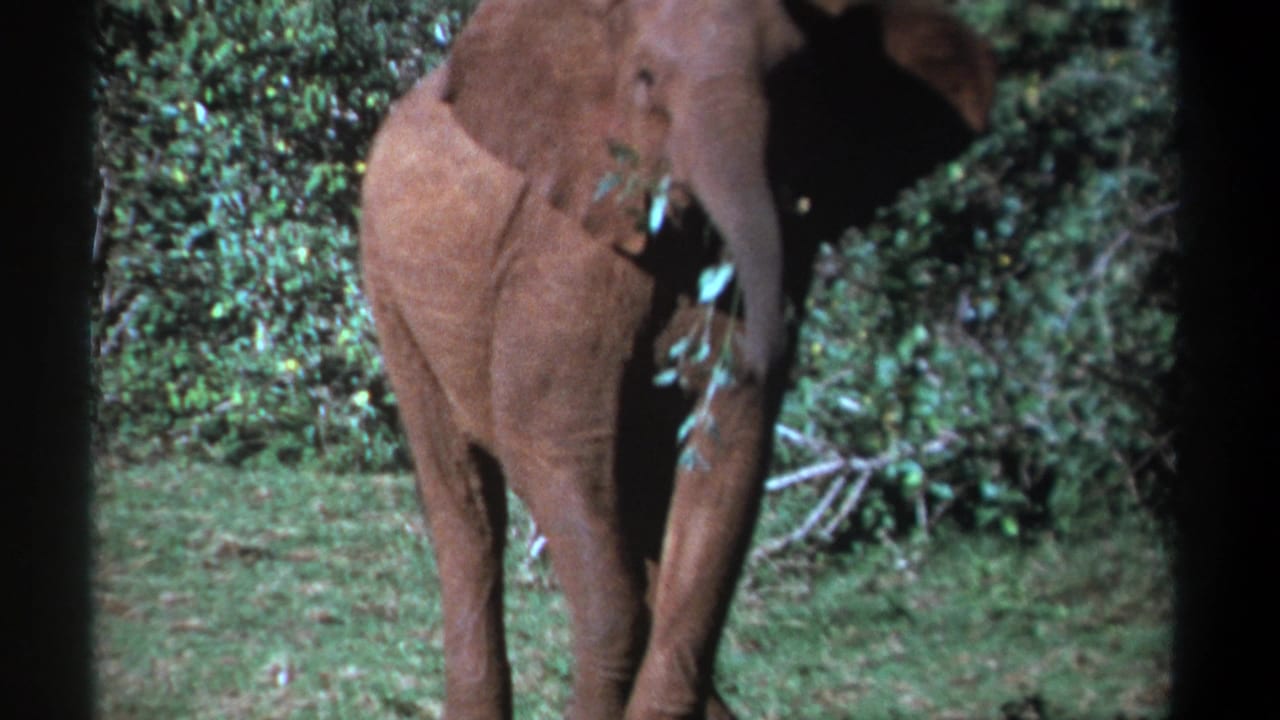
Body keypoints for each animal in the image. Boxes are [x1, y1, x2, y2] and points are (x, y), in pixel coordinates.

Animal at [358, 0, 995, 718]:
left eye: (795, 80)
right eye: (645, 81)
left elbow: (724, 462)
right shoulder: (564, 249)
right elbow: (549, 443)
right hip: (388, 282)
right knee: (466, 506)